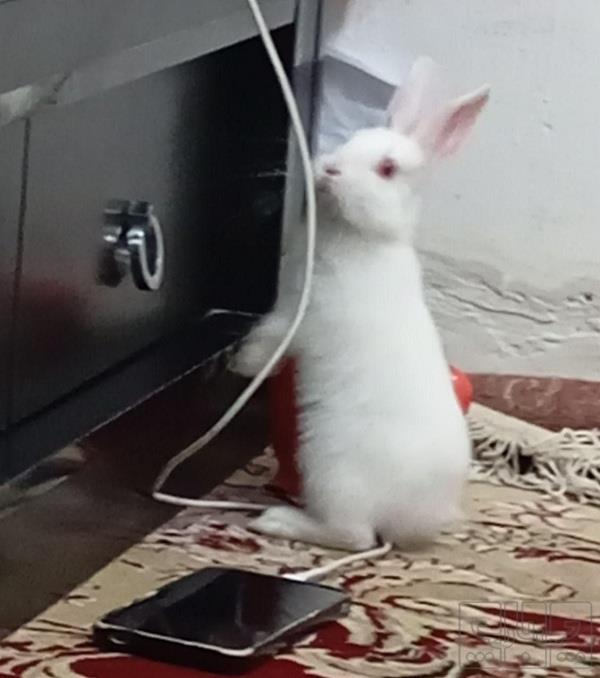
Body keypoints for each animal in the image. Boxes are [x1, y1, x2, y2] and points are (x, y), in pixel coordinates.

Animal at [233, 58, 490, 551]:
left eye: (387, 169)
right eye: (350, 139)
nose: (329, 169)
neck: (362, 234)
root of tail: (409, 522)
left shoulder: (295, 315)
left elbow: (269, 338)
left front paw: (241, 365)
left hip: (329, 469)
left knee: (353, 535)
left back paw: (277, 521)